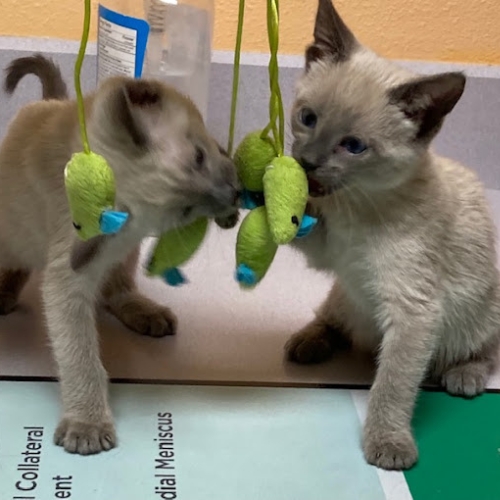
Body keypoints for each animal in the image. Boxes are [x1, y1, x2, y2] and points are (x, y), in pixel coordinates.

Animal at [0, 53, 239, 454]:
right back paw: (3, 295)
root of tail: (47, 101)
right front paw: (87, 424)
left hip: (119, 255)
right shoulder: (67, 283)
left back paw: (145, 312)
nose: (233, 196)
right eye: (185, 212)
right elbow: (81, 358)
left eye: (199, 157)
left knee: (118, 287)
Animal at [286, 0, 500, 470]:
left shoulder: (414, 311)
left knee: (486, 347)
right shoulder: (330, 252)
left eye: (353, 146)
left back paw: (466, 374)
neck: (360, 205)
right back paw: (307, 342)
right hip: (345, 296)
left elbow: (393, 385)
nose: (306, 163)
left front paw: (388, 442)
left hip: (480, 312)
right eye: (307, 119)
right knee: (332, 320)